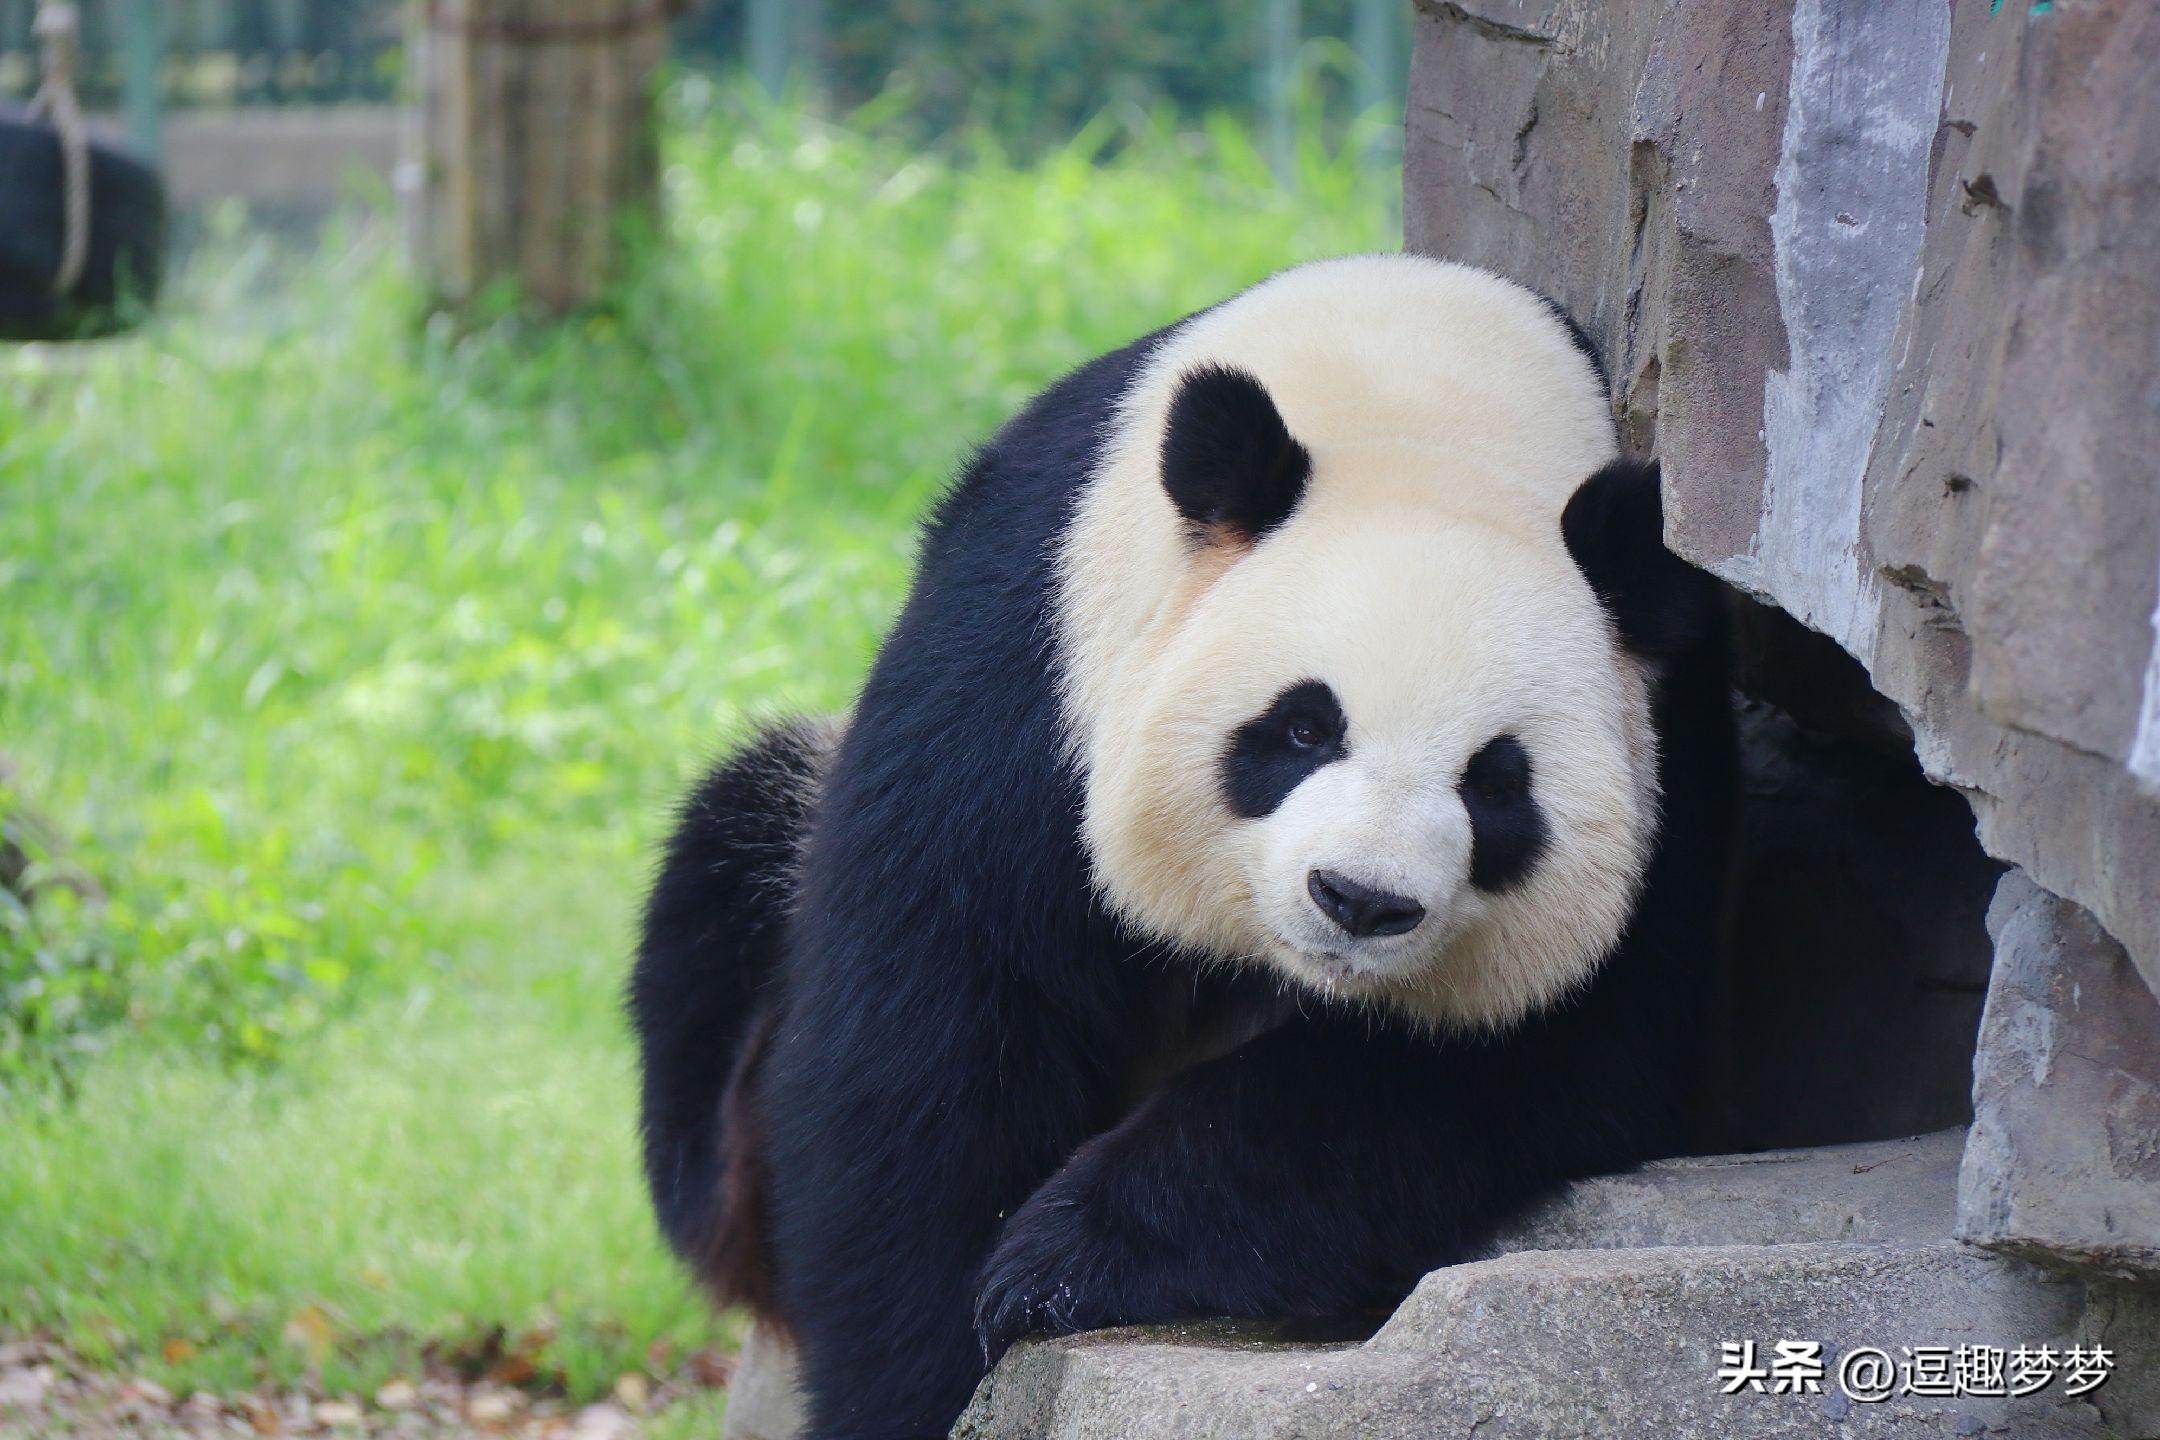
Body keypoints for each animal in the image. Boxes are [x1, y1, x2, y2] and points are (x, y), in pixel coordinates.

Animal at [630, 253, 1736, 1433]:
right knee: (735, 859)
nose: (1360, 900)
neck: (1431, 415)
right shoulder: (1035, 654)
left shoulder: (1670, 745)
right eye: (1303, 727)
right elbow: (932, 1030)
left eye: (1496, 784)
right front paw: (935, 1373)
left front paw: (1061, 1256)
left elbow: (1533, 1056)